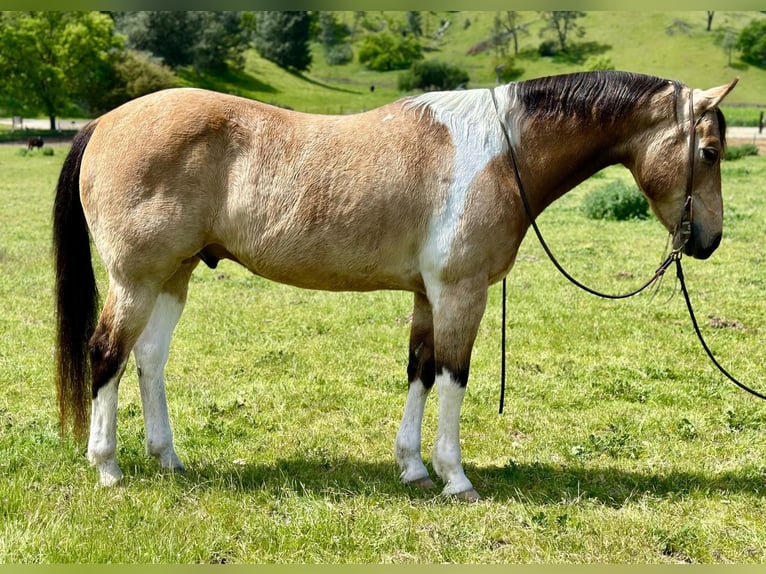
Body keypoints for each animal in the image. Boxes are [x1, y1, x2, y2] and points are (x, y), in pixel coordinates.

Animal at [51, 72, 736, 502]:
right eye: (709, 151)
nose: (707, 240)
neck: (499, 152)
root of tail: (106, 122)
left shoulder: (428, 295)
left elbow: (420, 372)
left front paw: (413, 468)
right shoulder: (461, 291)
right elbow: (454, 377)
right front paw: (456, 477)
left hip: (177, 273)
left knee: (148, 358)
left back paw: (166, 457)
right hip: (136, 279)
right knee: (106, 355)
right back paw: (108, 468)